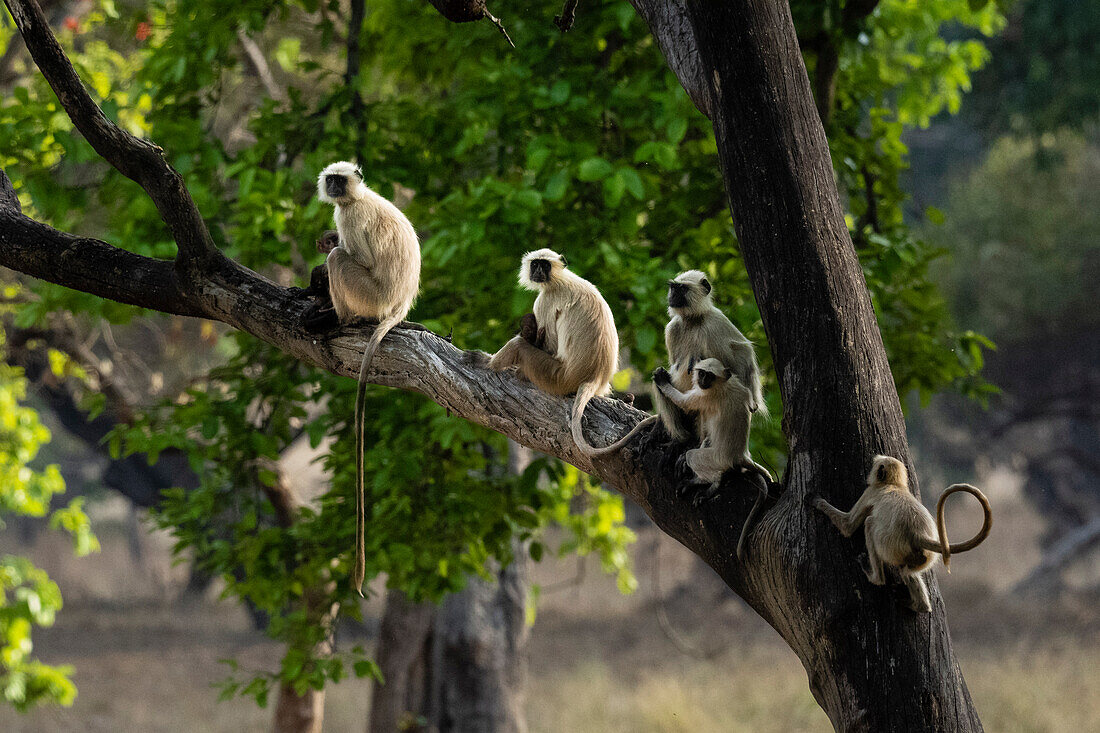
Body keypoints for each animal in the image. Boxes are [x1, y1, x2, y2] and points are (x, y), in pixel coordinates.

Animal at [488, 250, 624, 457]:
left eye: (545, 265)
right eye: (535, 264)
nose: (538, 272)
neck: (559, 279)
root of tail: (594, 377)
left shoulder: (545, 301)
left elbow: (547, 343)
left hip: (555, 377)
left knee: (519, 345)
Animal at [651, 356, 774, 556]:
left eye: (708, 375)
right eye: (702, 373)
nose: (702, 380)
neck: (723, 384)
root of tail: (739, 456)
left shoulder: (706, 397)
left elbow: (684, 403)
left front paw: (662, 380)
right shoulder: (740, 388)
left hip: (714, 459)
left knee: (695, 457)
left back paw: (709, 483)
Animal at [809, 453, 998, 607]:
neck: (894, 485)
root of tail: (918, 535)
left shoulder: (870, 491)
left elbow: (847, 526)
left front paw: (817, 501)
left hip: (892, 548)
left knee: (869, 524)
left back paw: (876, 578)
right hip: (923, 558)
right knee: (907, 571)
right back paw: (921, 606)